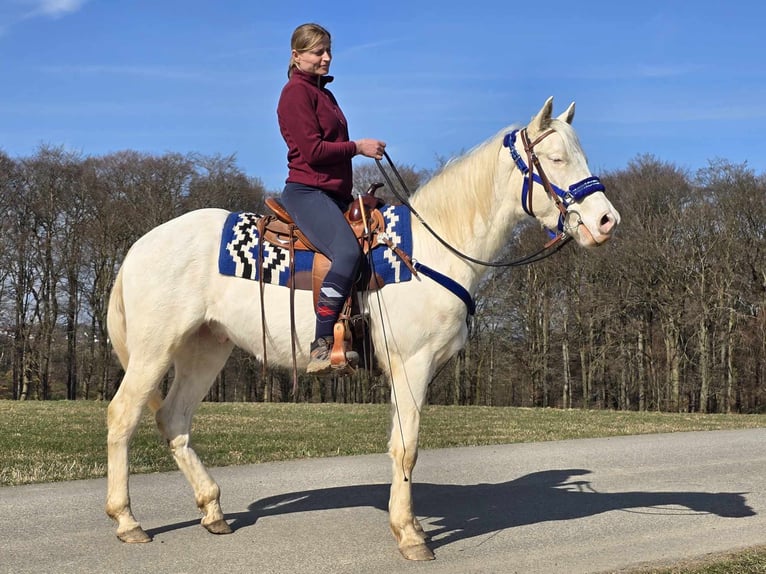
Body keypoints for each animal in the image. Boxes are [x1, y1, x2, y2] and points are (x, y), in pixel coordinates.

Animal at [106, 99, 624, 564]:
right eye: (556, 160)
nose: (607, 221)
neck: (429, 251)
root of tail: (140, 246)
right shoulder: (412, 365)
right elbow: (407, 449)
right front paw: (411, 537)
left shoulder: (408, 371)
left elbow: (399, 447)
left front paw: (409, 525)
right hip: (155, 350)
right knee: (122, 416)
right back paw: (128, 521)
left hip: (206, 349)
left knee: (173, 420)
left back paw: (212, 510)